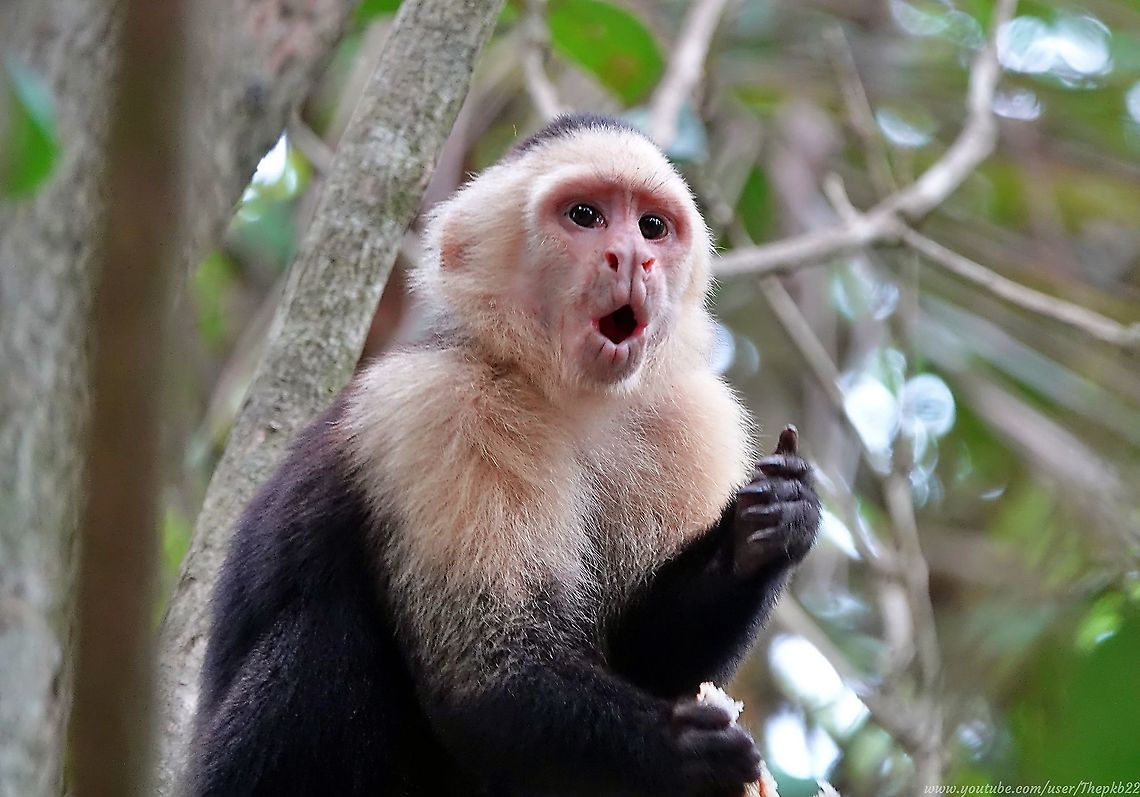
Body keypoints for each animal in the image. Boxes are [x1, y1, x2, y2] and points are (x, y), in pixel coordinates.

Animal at [186, 112, 820, 797]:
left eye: (652, 226)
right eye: (585, 216)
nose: (633, 258)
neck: (570, 400)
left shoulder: (695, 424)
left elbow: (656, 660)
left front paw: (766, 525)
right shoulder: (443, 407)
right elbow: (488, 682)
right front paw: (688, 751)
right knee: (326, 633)